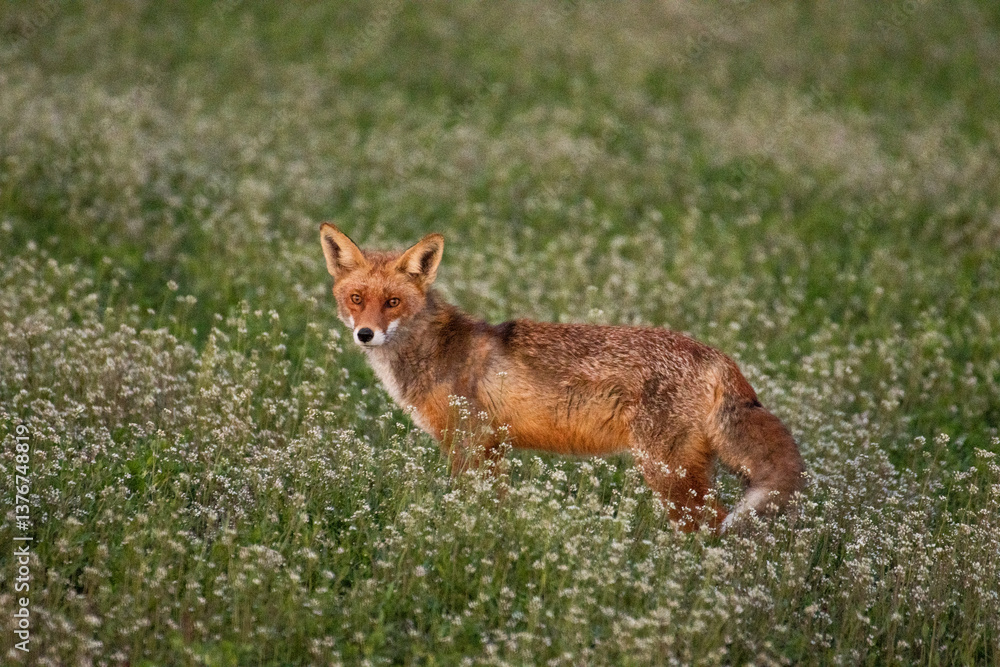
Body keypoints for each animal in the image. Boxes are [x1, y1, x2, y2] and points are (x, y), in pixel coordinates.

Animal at [319, 223, 805, 533]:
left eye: (393, 302)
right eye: (357, 298)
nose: (366, 334)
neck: (435, 350)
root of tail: (717, 355)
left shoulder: (470, 442)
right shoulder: (493, 448)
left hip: (667, 471)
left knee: (711, 527)